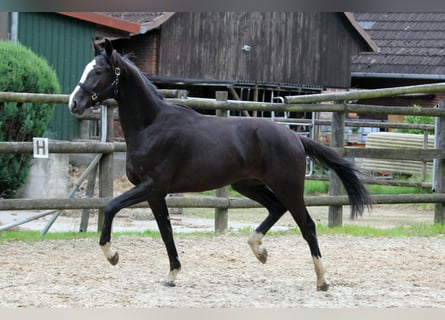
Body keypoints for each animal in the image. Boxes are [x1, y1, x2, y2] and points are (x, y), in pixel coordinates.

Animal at [67, 39, 370, 290]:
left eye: (98, 71)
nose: (74, 104)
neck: (152, 125)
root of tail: (295, 136)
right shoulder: (155, 193)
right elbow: (166, 231)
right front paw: (172, 275)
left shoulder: (151, 186)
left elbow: (110, 207)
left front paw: (112, 255)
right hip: (247, 185)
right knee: (276, 208)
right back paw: (259, 250)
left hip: (288, 186)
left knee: (307, 225)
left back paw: (322, 280)